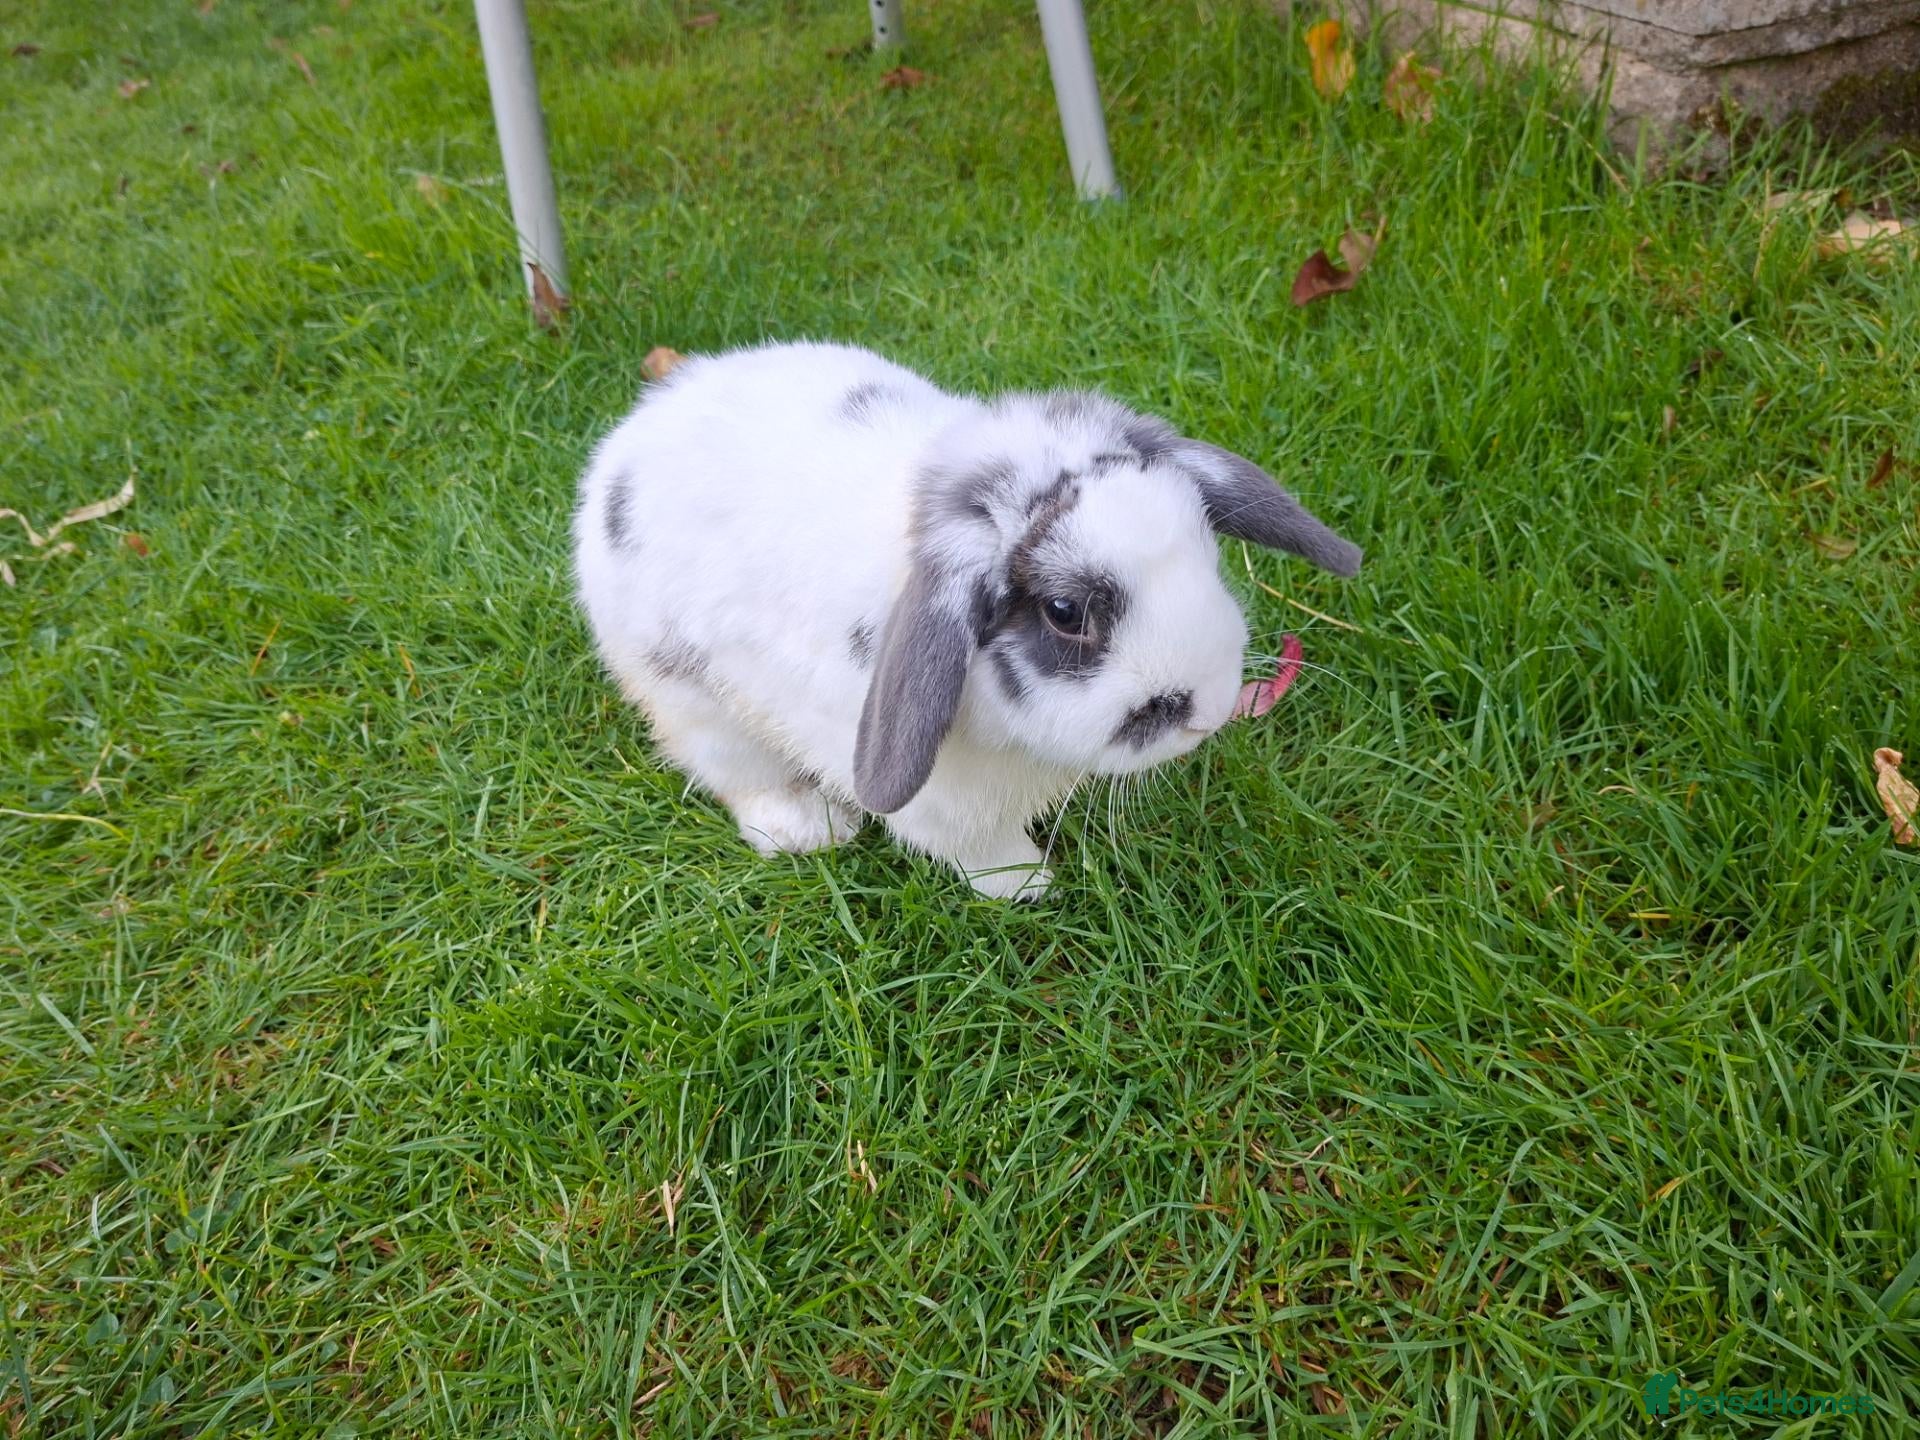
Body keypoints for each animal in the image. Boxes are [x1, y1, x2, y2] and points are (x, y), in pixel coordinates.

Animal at [572, 341, 1362, 899]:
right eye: (1065, 612)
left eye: (1203, 546)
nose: (1208, 707)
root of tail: (632, 436)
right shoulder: (945, 804)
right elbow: (979, 853)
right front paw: (1029, 884)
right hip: (688, 696)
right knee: (735, 770)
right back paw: (808, 828)